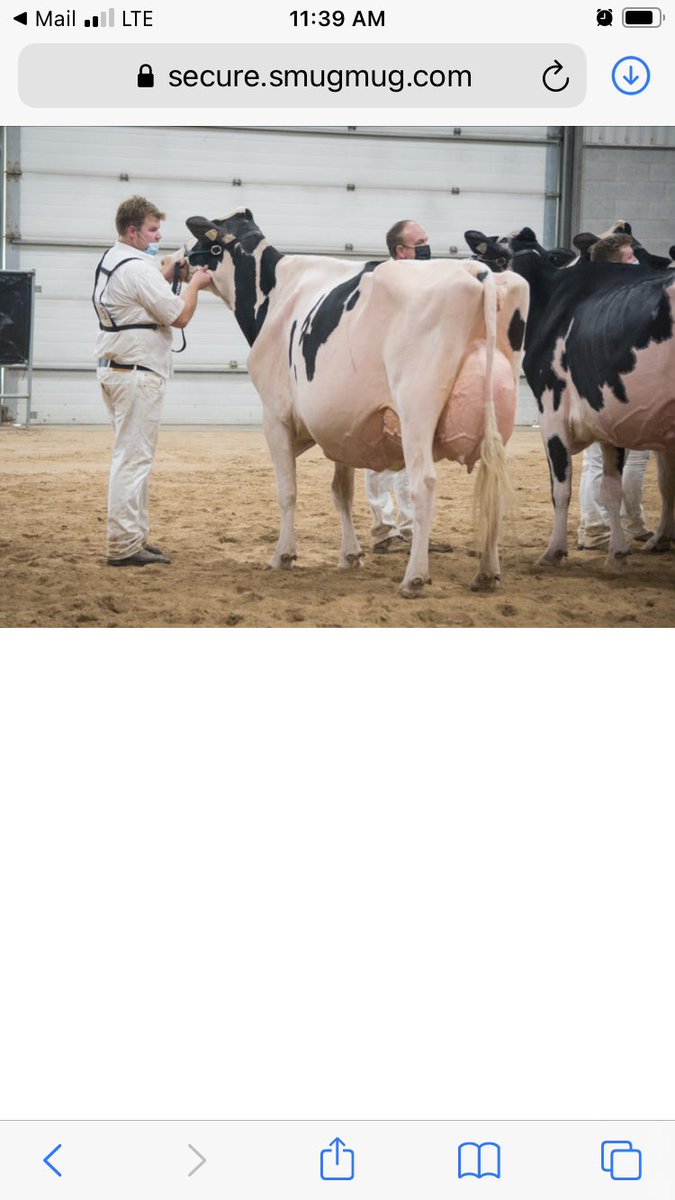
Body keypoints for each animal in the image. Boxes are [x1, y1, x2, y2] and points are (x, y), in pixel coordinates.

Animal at [184, 209, 529, 596]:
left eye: (205, 242)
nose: (180, 261)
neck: (276, 291)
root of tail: (476, 272)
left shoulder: (275, 416)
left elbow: (288, 490)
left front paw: (282, 555)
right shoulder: (344, 426)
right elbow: (342, 492)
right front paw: (350, 555)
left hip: (417, 410)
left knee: (424, 483)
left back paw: (415, 577)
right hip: (498, 420)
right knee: (495, 484)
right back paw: (487, 572)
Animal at [465, 228, 675, 566]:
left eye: (498, 258)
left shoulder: (552, 409)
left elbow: (561, 487)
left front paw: (554, 550)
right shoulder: (606, 412)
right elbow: (611, 489)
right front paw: (618, 551)